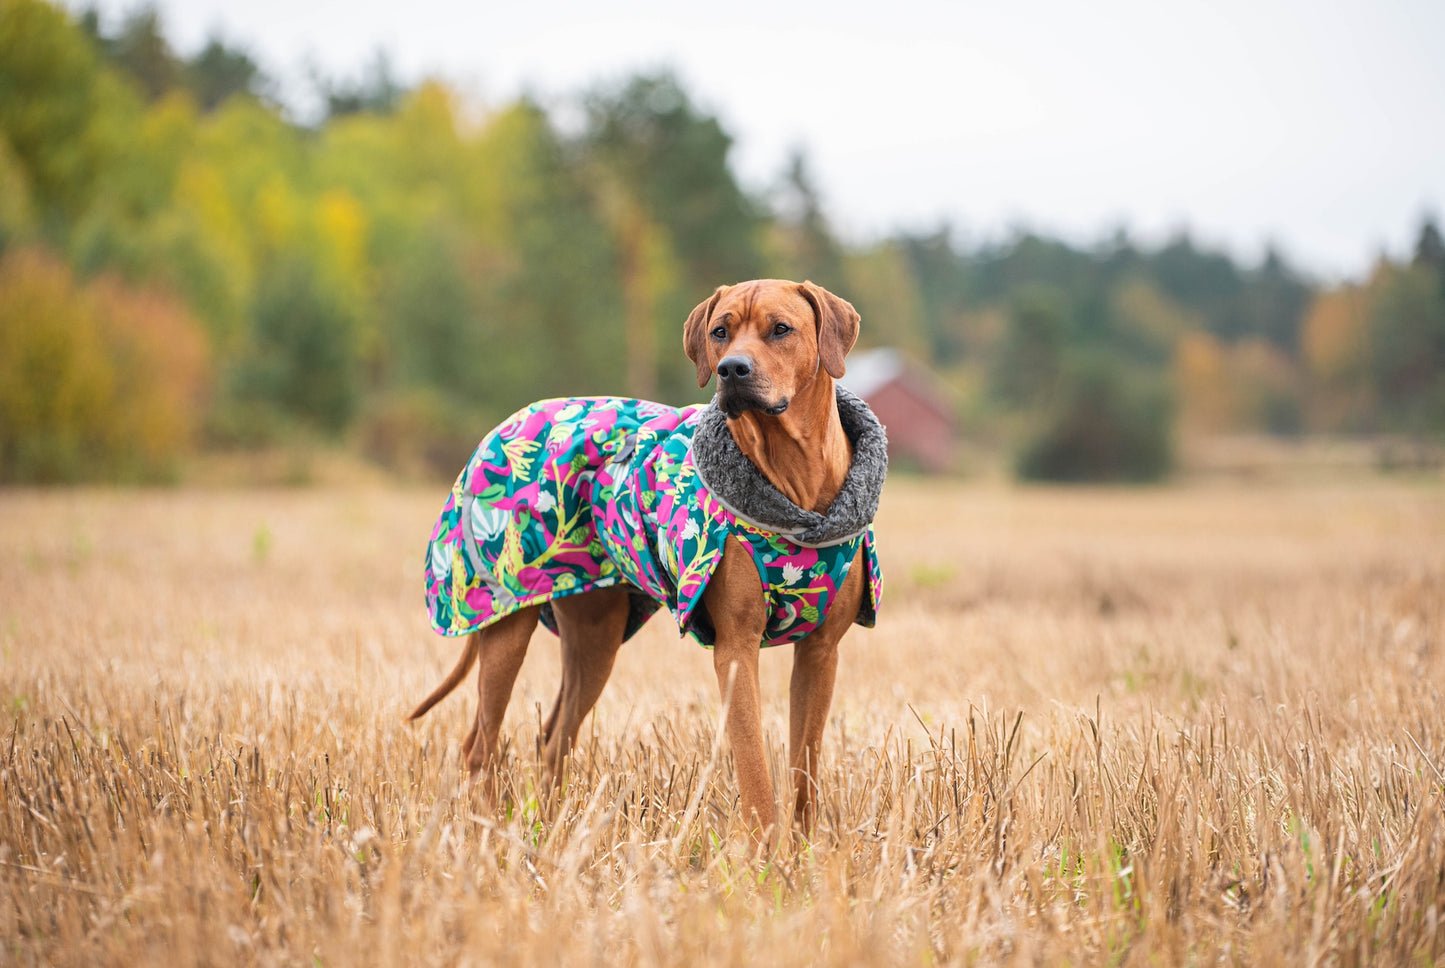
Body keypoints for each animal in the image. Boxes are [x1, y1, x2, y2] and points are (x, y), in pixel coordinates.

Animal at [413, 277, 872, 837]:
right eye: (720, 332)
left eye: (781, 329)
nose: (731, 370)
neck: (795, 481)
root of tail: (503, 425)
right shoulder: (736, 648)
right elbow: (754, 767)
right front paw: (766, 850)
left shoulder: (822, 652)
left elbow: (804, 768)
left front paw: (805, 849)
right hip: (507, 617)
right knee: (478, 745)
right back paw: (489, 832)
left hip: (595, 635)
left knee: (552, 738)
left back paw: (553, 826)